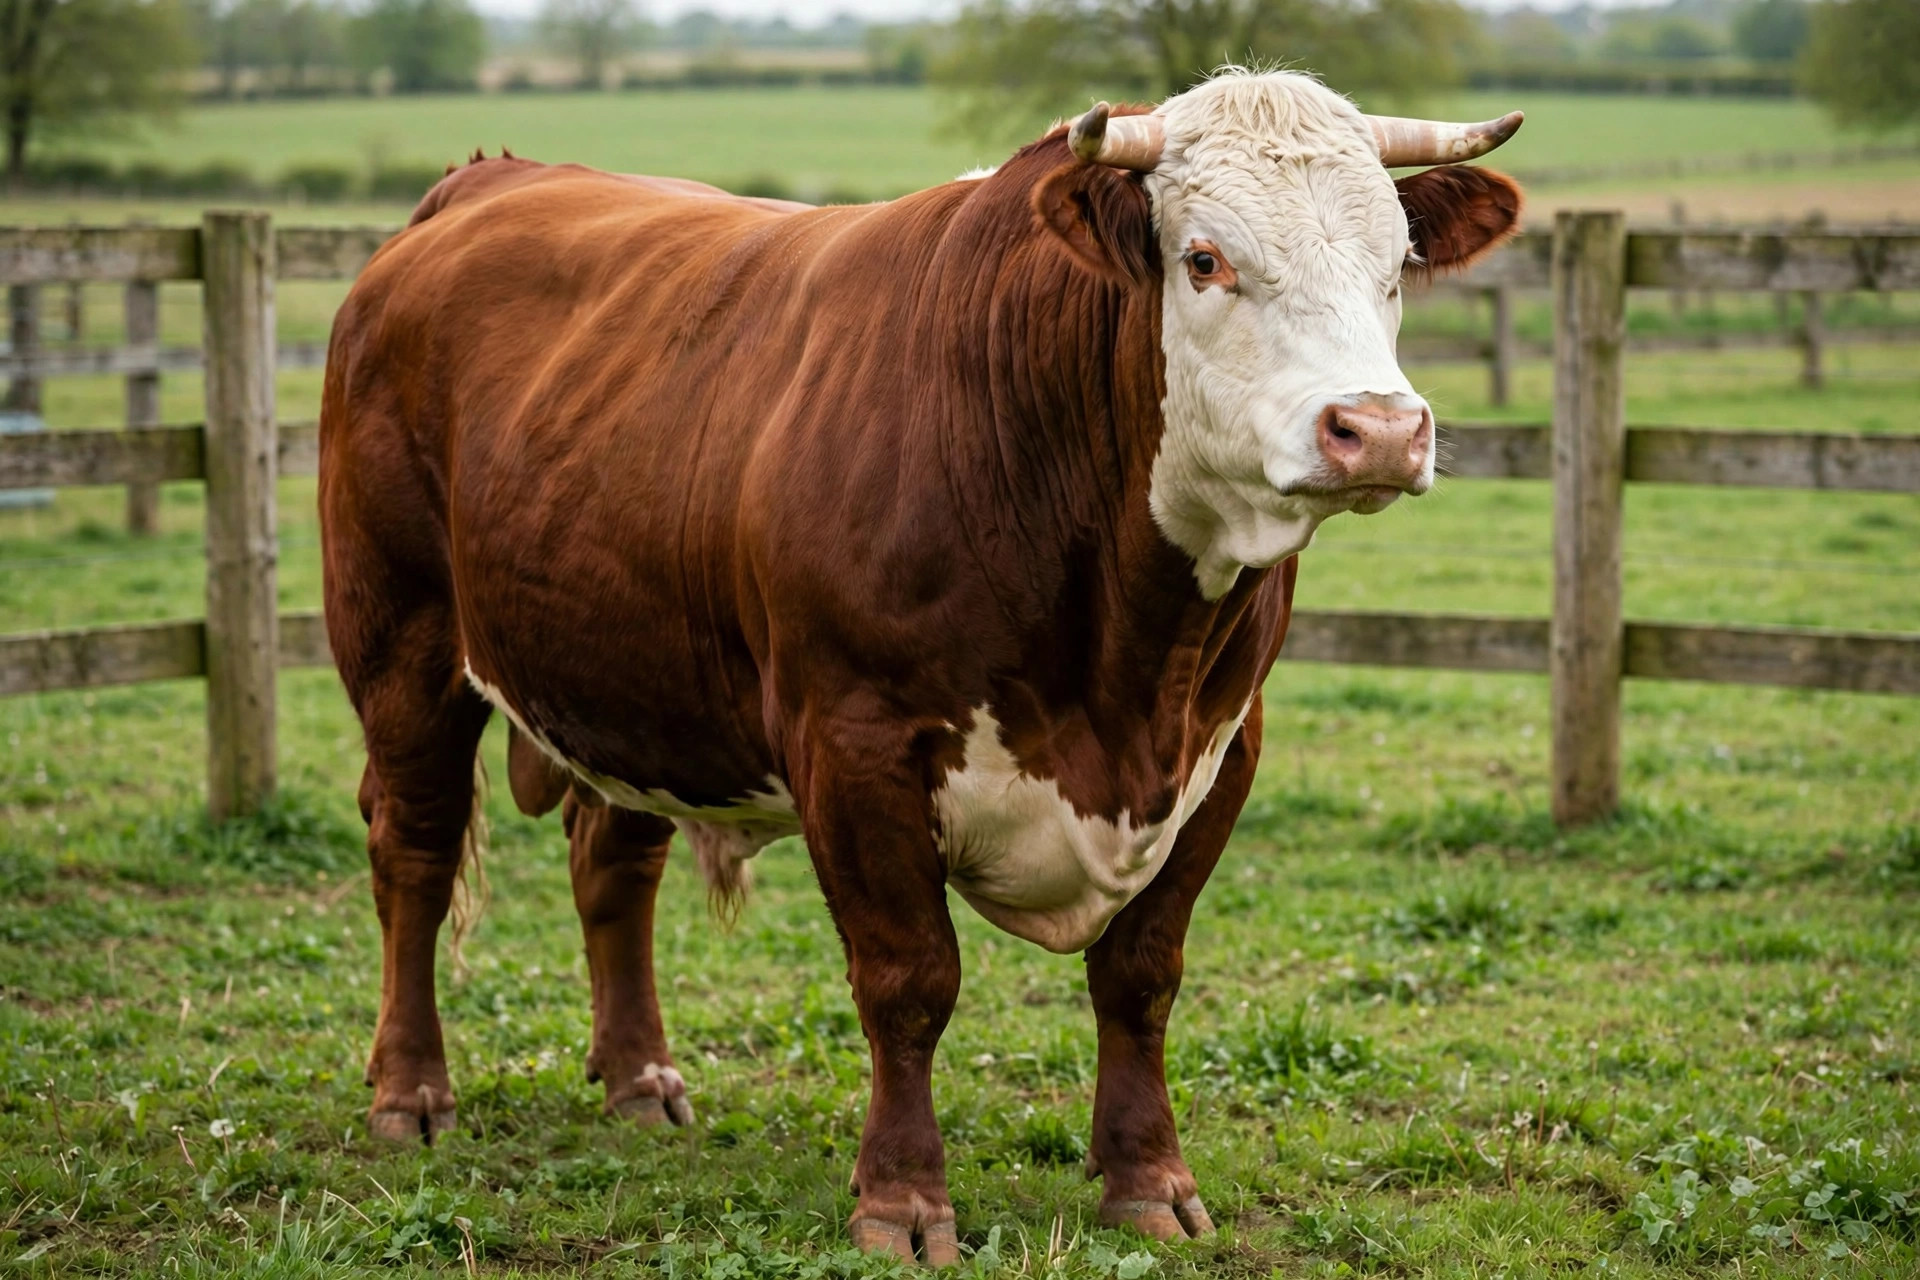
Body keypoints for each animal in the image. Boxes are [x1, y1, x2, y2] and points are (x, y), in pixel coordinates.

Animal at [318, 68, 1522, 1264]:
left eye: (1396, 262)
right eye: (1204, 258)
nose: (1380, 429)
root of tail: (487, 180)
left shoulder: (1221, 746)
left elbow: (1141, 974)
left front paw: (1149, 1181)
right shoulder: (855, 744)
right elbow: (909, 980)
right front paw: (901, 1200)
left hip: (636, 676)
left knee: (613, 858)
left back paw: (639, 1081)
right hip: (401, 642)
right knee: (414, 849)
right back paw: (411, 1093)